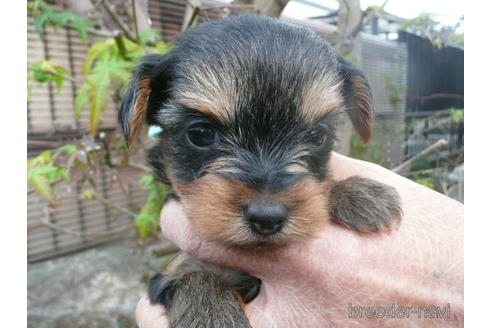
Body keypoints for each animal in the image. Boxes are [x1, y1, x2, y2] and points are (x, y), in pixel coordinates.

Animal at [120, 14, 404, 326]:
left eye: (318, 136)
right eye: (201, 134)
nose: (267, 217)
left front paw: (356, 193)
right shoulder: (176, 270)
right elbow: (196, 277)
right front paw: (213, 315)